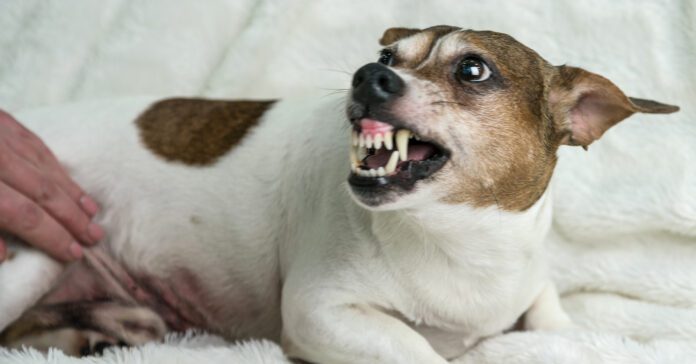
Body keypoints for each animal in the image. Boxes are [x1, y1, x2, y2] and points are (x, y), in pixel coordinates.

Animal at [0, 24, 676, 362]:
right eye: (386, 54)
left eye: (472, 69)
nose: (368, 74)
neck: (457, 239)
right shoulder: (323, 313)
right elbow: (416, 350)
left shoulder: (529, 286)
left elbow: (550, 319)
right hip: (38, 254)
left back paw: (99, 330)